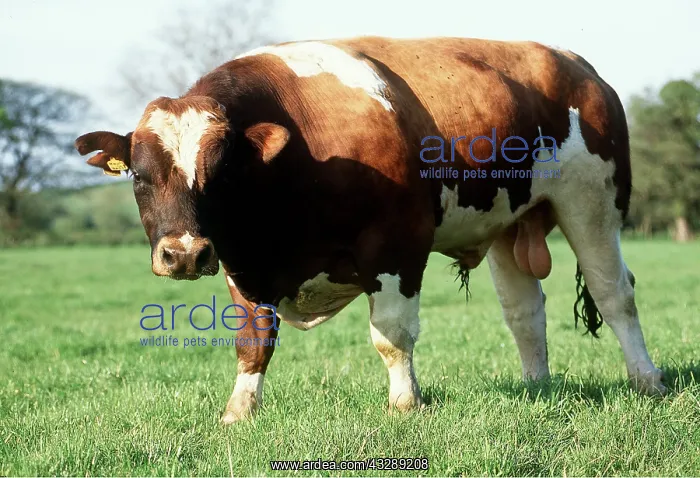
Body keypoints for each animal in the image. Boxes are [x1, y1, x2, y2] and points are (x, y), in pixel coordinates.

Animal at [75, 36, 666, 424]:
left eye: (220, 172)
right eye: (140, 177)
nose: (184, 254)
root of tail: (577, 65)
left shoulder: (397, 244)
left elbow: (391, 335)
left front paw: (405, 404)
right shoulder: (242, 263)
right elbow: (253, 342)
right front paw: (239, 413)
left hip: (592, 203)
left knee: (616, 295)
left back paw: (647, 380)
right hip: (508, 222)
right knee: (524, 312)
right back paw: (537, 387)